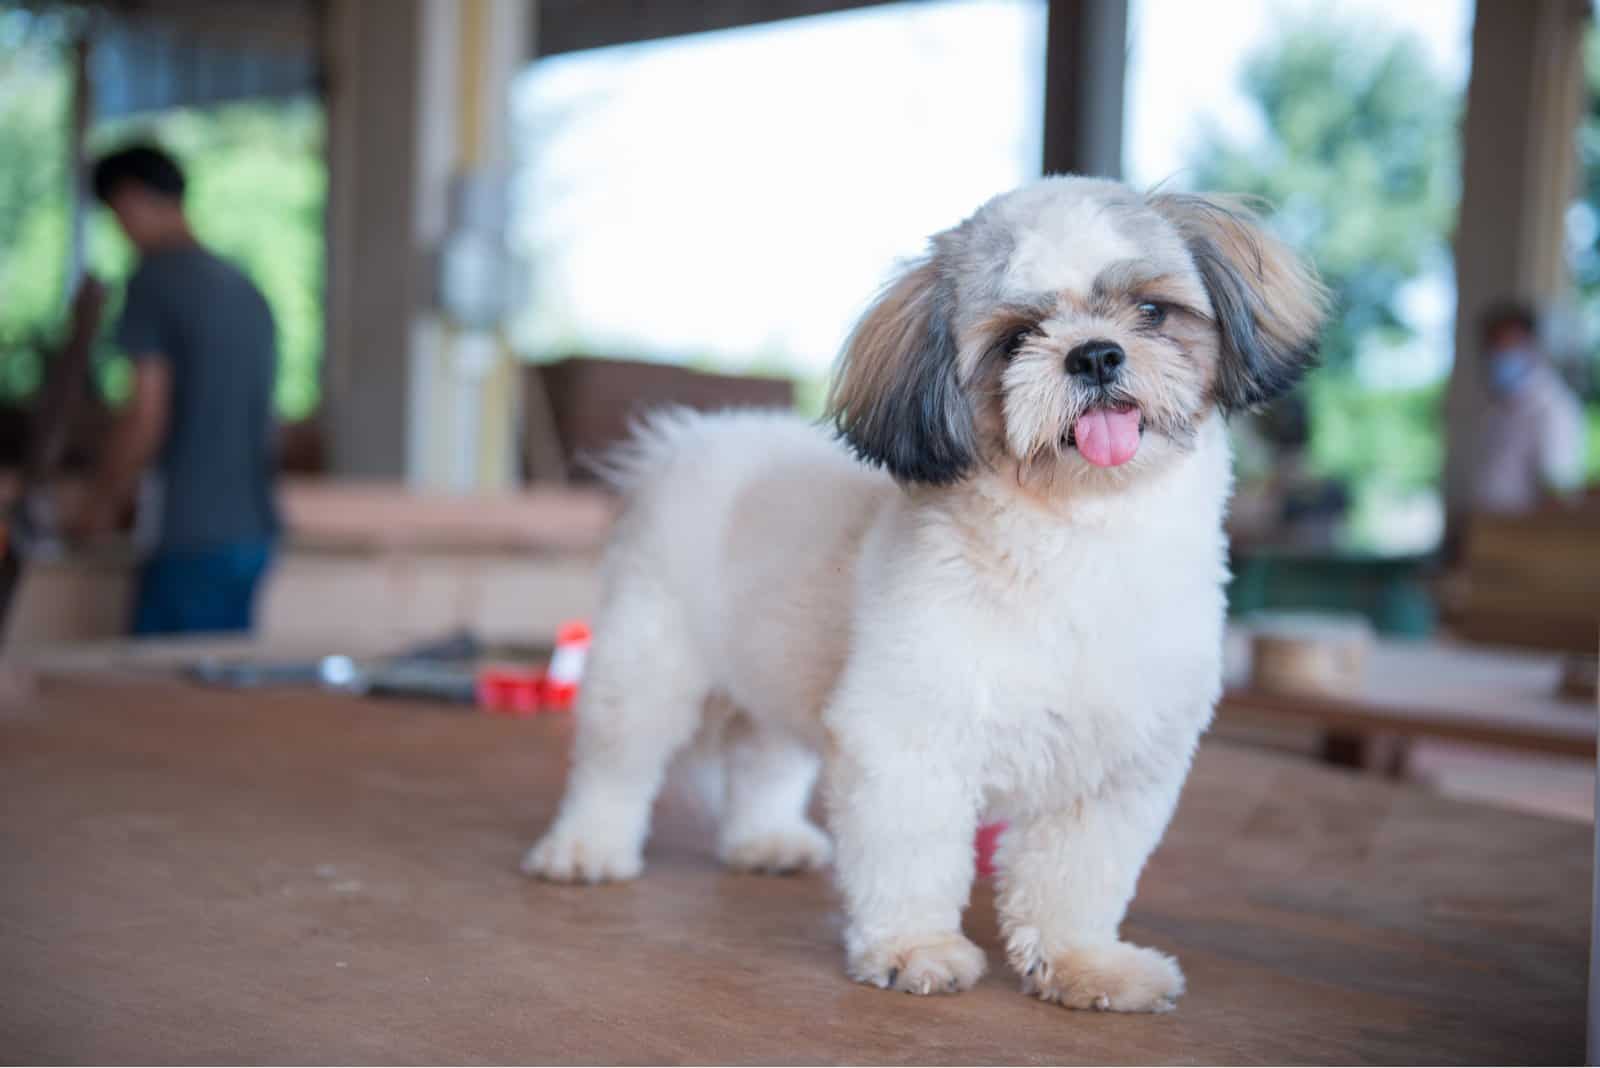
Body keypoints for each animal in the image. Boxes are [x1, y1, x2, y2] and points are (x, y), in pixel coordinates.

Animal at [524, 173, 1324, 1010]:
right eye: (1017, 338)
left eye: (1151, 311)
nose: (1095, 355)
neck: (1077, 540)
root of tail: (685, 441)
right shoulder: (906, 740)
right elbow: (910, 858)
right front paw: (915, 951)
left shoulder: (1115, 769)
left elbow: (1074, 882)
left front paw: (1084, 966)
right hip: (644, 673)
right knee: (615, 767)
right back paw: (585, 850)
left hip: (778, 675)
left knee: (763, 760)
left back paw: (764, 840)